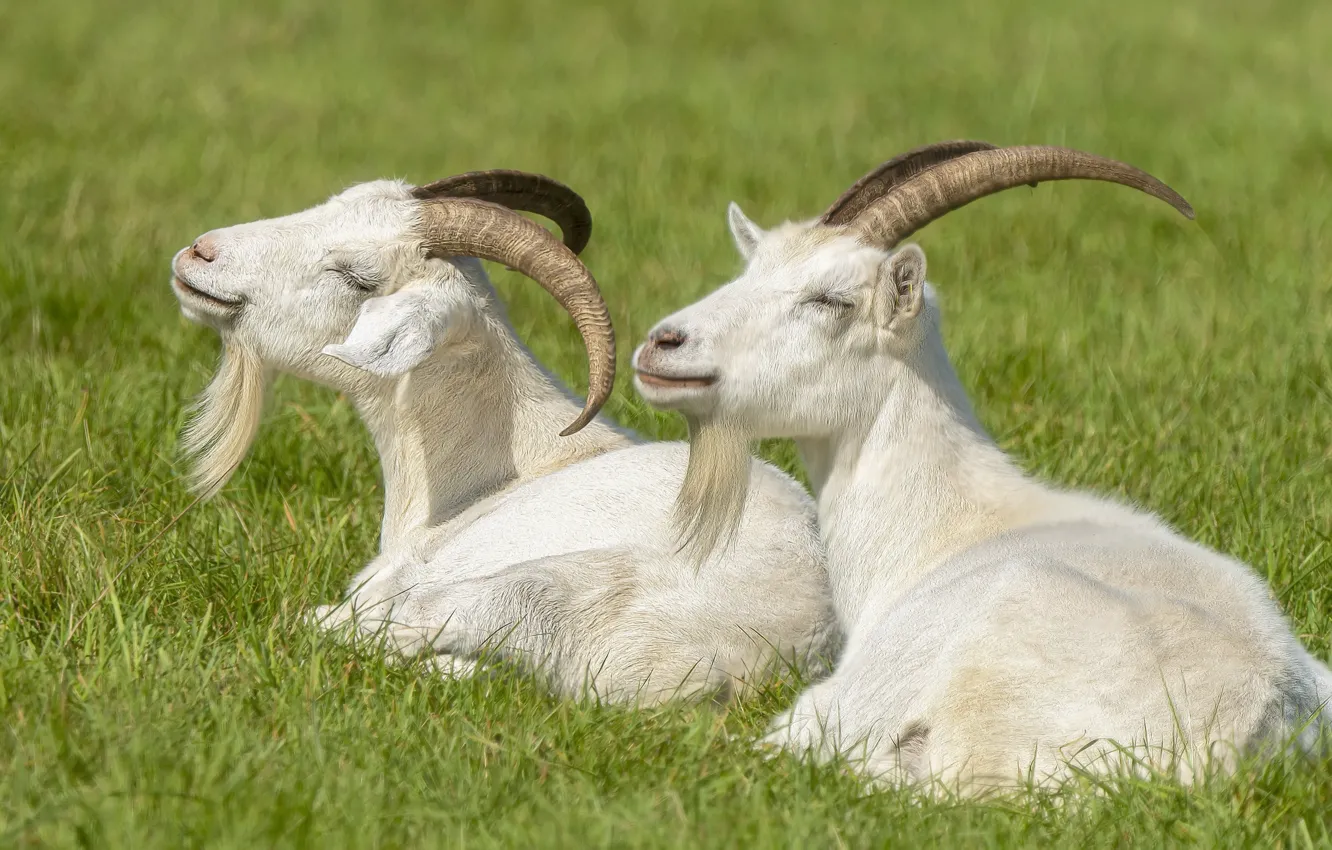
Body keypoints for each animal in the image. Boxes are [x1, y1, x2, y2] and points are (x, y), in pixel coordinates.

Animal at [632, 143, 1332, 790]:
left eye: (830, 300)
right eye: (748, 272)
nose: (662, 343)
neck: (949, 525)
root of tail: (1228, 742)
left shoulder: (843, 698)